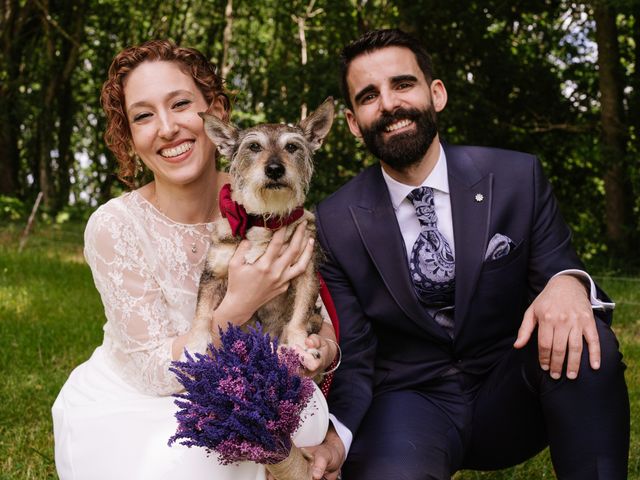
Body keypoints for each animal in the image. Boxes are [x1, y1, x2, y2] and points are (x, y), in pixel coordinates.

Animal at [194, 96, 336, 356]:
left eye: (291, 147)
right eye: (254, 147)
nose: (274, 169)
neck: (264, 218)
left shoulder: (308, 275)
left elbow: (299, 316)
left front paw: (299, 344)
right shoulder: (213, 274)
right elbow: (202, 312)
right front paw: (194, 342)